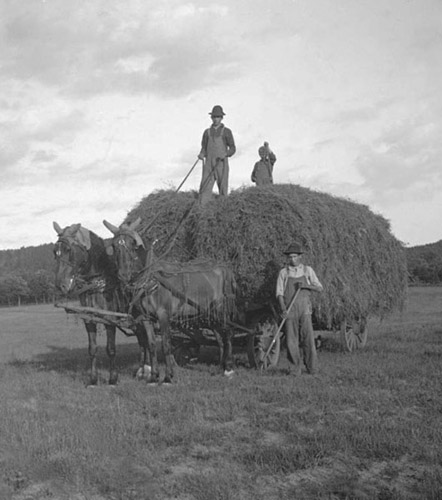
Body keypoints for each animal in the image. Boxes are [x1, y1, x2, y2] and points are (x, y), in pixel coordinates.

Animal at [102, 219, 238, 382]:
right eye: (114, 246)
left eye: (133, 245)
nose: (123, 275)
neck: (151, 279)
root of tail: (223, 267)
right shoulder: (146, 318)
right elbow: (151, 345)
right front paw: (153, 376)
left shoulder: (163, 315)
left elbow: (166, 345)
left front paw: (168, 376)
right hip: (210, 313)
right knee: (219, 337)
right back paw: (221, 366)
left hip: (221, 308)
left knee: (228, 333)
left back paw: (229, 368)